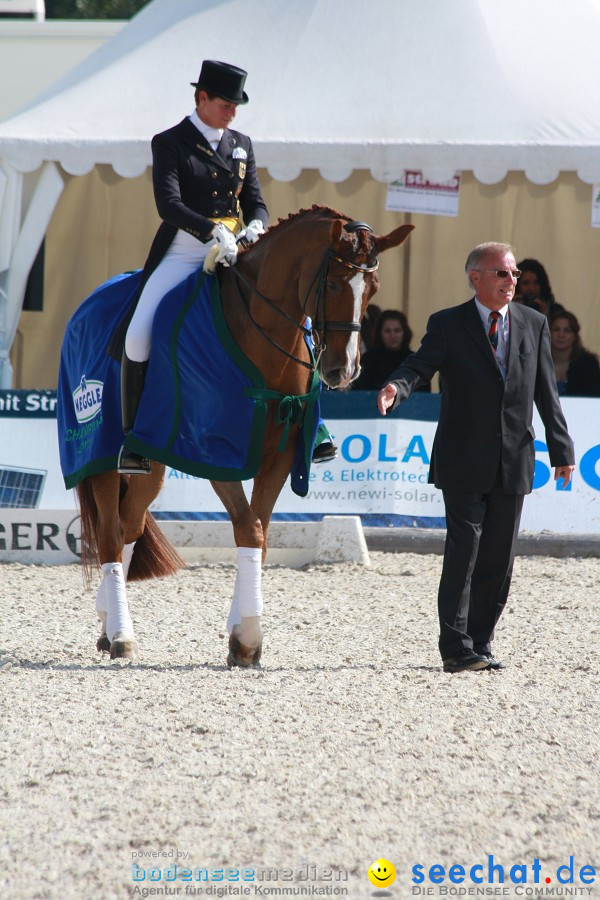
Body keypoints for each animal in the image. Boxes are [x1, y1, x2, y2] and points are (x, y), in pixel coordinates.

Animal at [70, 207, 412, 664]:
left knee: (129, 527)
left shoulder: (281, 457)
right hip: (101, 459)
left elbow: (260, 535)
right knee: (110, 534)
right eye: (334, 283)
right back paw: (122, 635)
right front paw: (248, 636)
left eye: (372, 288)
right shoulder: (217, 454)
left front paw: (243, 633)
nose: (345, 371)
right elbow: (248, 529)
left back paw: (108, 622)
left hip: (153, 463)